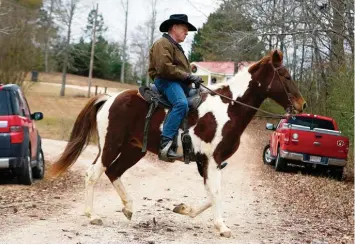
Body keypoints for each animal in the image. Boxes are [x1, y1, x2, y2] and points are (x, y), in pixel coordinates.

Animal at [48, 49, 308, 237]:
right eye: (285, 76)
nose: (302, 104)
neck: (228, 108)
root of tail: (109, 99)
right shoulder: (211, 159)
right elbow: (215, 192)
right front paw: (222, 227)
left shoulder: (211, 162)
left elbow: (213, 193)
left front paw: (184, 209)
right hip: (111, 146)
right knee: (93, 173)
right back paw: (92, 215)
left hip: (133, 151)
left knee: (114, 171)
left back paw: (129, 208)